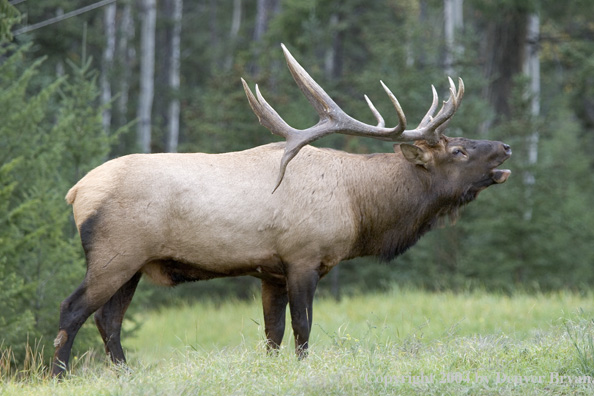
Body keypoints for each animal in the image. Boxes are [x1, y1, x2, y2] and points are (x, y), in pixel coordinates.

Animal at [53, 44, 512, 376]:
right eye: (457, 150)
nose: (505, 146)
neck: (359, 206)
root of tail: (76, 192)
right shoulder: (303, 257)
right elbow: (302, 330)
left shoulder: (269, 271)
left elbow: (272, 335)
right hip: (115, 253)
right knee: (73, 310)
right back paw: (60, 375)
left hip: (133, 265)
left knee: (108, 320)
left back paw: (124, 374)